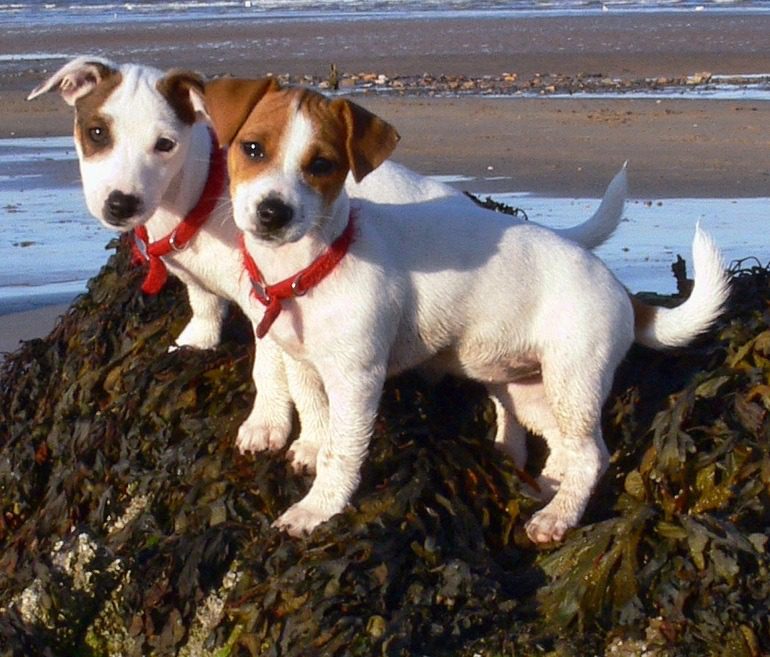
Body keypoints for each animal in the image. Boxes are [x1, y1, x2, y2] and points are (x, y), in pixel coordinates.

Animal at [30, 55, 632, 466]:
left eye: (165, 145)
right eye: (96, 133)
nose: (121, 204)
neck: (199, 191)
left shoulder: (265, 306)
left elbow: (267, 368)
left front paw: (267, 425)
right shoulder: (213, 284)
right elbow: (203, 305)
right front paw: (197, 340)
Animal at [201, 78, 728, 544]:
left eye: (322, 164)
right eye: (252, 149)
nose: (273, 212)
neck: (314, 265)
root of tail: (620, 287)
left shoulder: (357, 379)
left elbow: (341, 451)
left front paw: (317, 509)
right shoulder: (302, 365)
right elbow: (315, 415)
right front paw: (308, 450)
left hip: (573, 381)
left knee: (590, 456)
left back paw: (556, 518)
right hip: (529, 391)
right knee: (562, 447)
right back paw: (547, 489)